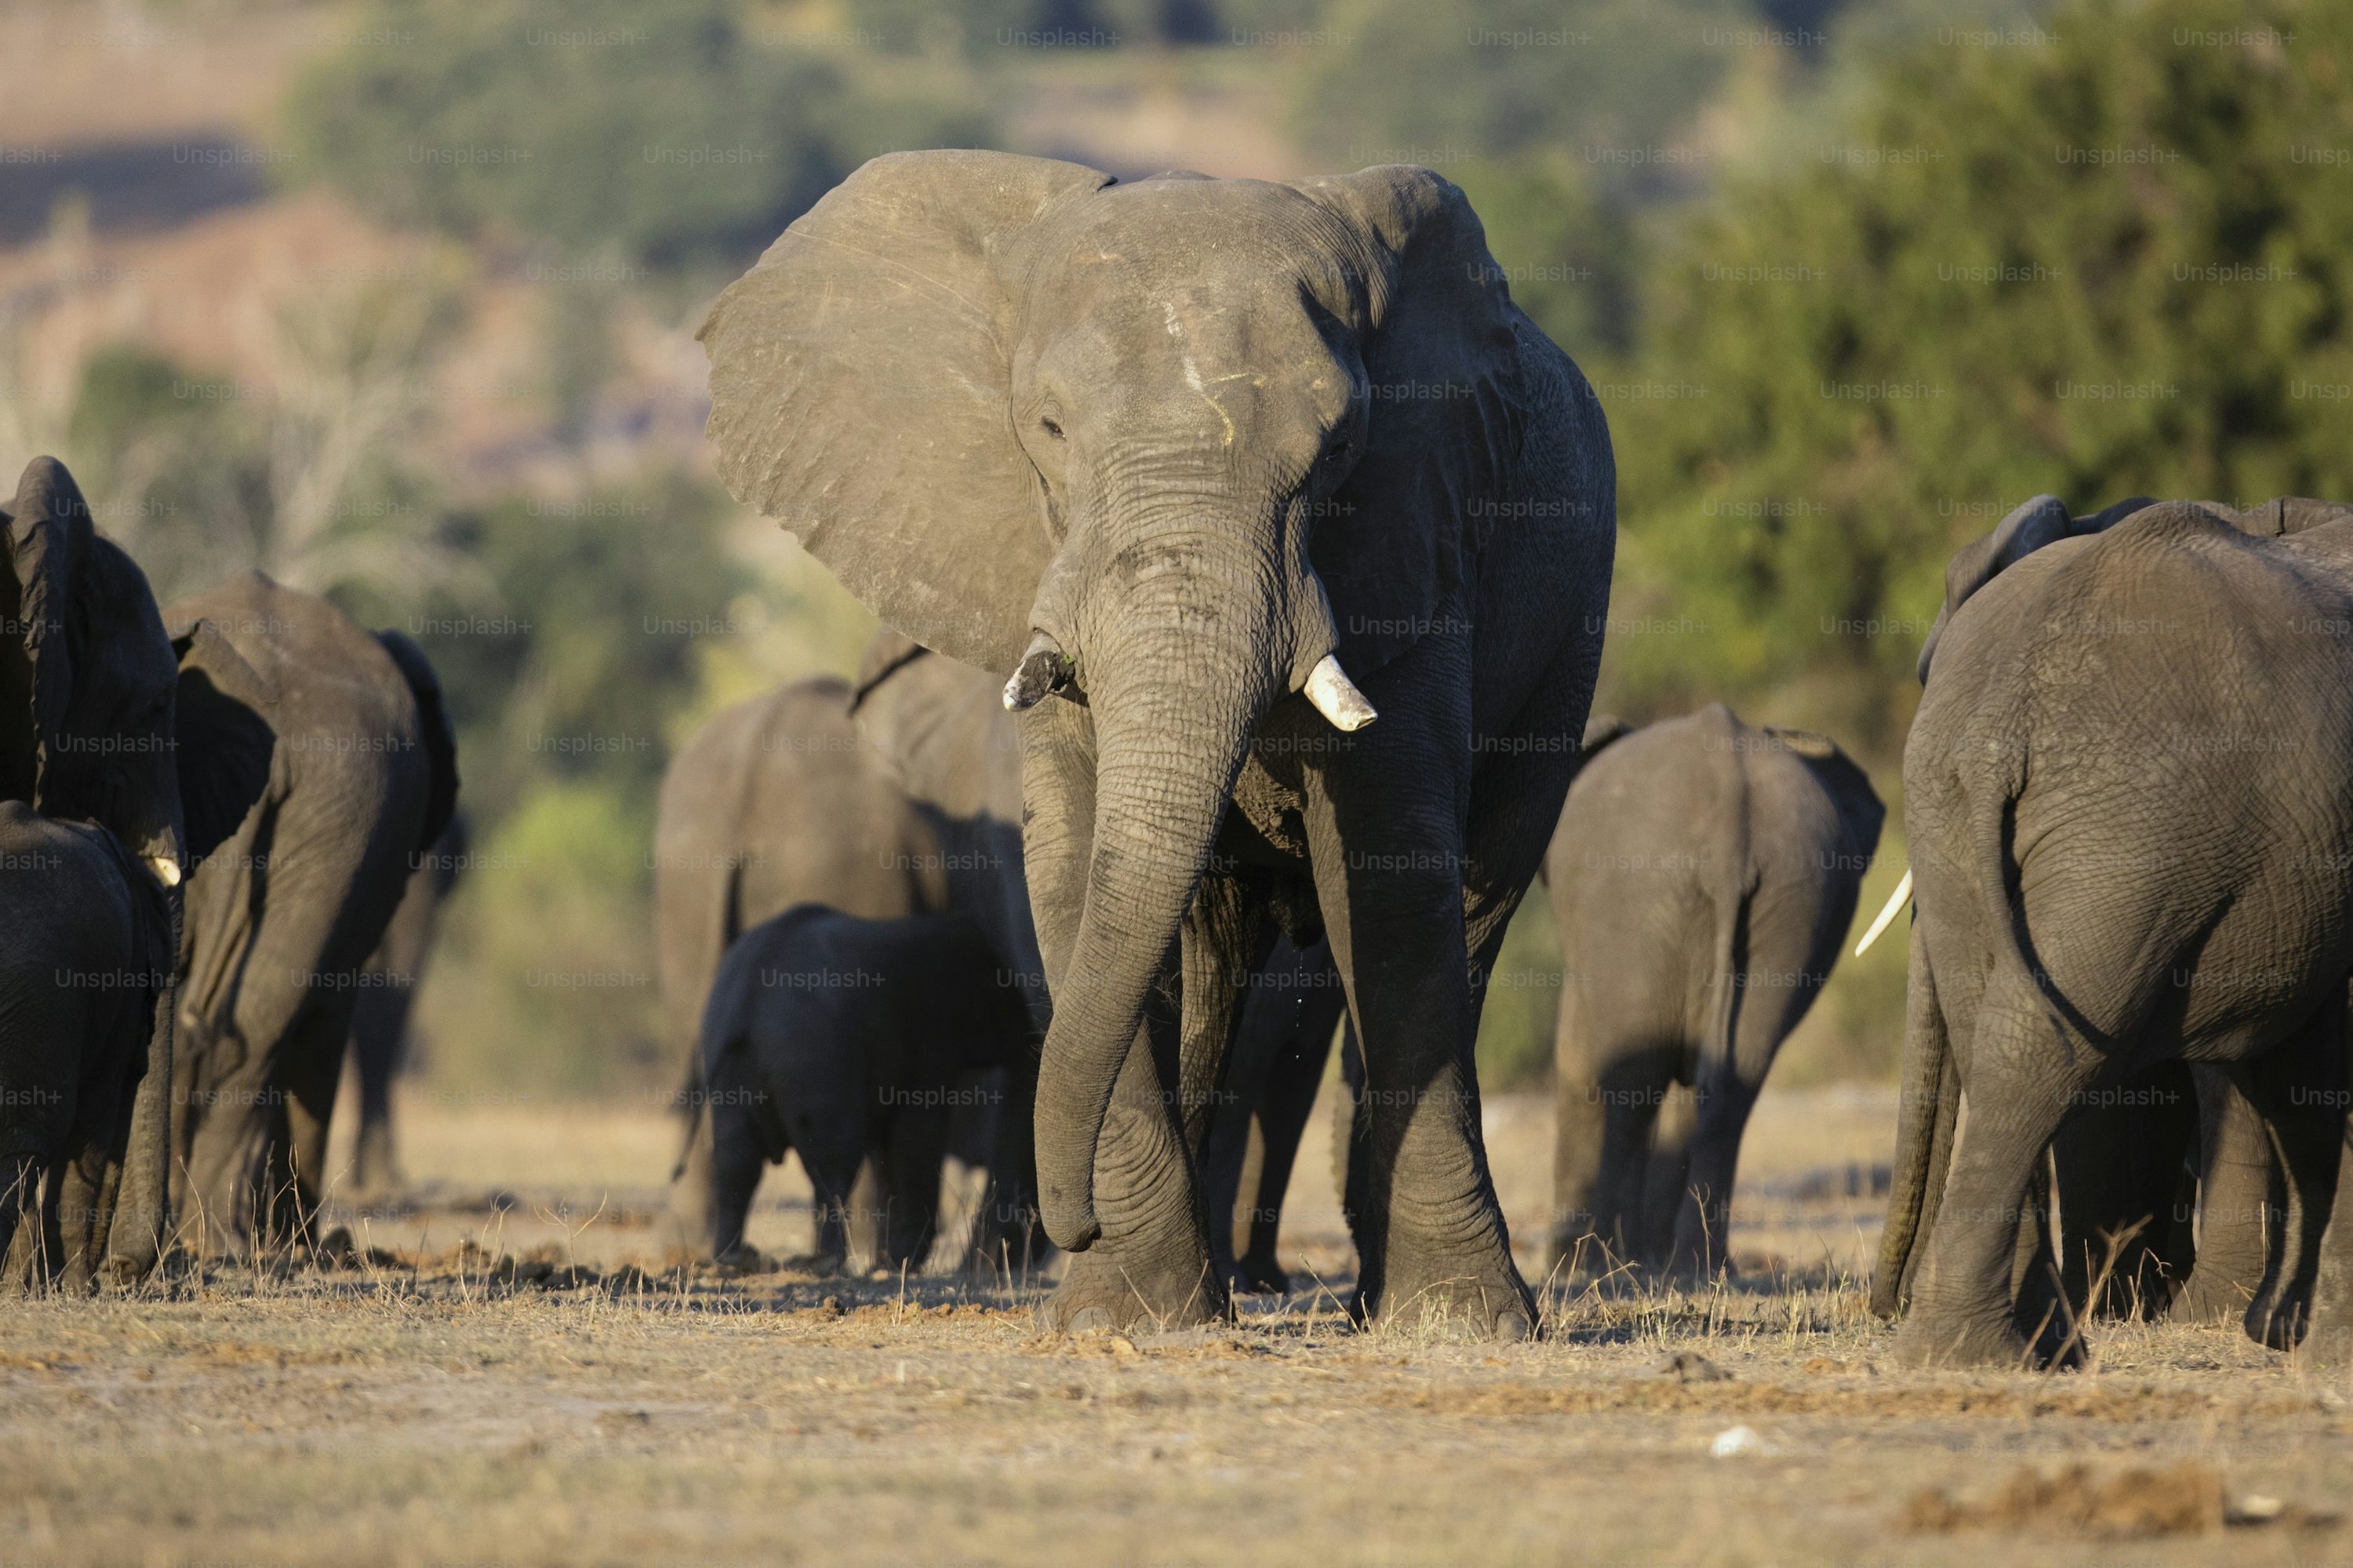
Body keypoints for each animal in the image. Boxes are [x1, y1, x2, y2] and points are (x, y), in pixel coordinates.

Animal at [692, 905, 1033, 1269]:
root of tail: (747, 997)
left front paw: (889, 1261)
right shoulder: (931, 1035)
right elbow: (916, 1132)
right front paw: (899, 1261)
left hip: (734, 1060)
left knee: (735, 1159)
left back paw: (732, 1259)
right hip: (813, 1056)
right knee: (832, 1161)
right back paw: (827, 1263)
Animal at [1544, 705, 1883, 1281]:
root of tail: (1730, 804)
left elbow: (1579, 1063)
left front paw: (1573, 1267)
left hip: (1631, 899)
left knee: (1631, 1083)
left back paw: (1605, 1267)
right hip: (1796, 896)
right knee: (1732, 1085)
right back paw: (1696, 1268)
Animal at [1871, 494, 2353, 1366]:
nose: (1879, 1304)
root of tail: (2000, 725)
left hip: (2040, 808)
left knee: (2009, 1033)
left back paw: (2016, 1348)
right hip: (2120, 824)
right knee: (2035, 1042)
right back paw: (2003, 1353)